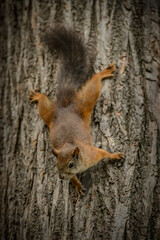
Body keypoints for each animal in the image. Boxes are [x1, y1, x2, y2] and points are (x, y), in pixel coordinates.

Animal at [30, 25, 125, 196]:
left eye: (71, 164)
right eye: (56, 164)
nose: (61, 177)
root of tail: (65, 106)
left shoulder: (94, 153)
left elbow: (104, 153)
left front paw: (115, 155)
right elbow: (73, 178)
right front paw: (77, 185)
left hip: (85, 101)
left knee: (93, 85)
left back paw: (103, 73)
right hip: (47, 112)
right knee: (43, 103)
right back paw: (38, 96)